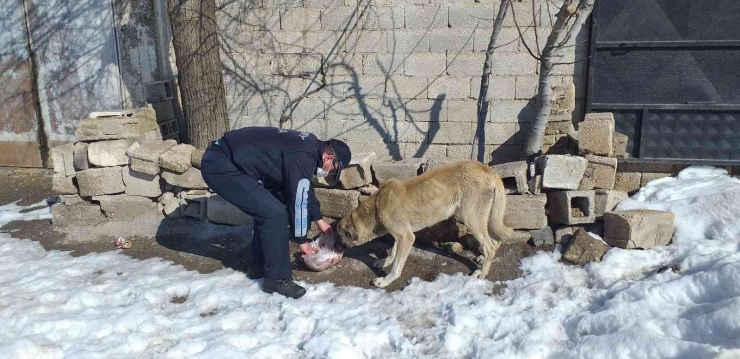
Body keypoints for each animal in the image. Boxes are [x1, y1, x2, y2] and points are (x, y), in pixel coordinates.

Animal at [336, 162, 516, 288]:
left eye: (340, 235)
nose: (337, 247)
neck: (375, 207)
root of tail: (488, 169)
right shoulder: (400, 236)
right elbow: (393, 252)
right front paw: (384, 262)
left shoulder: (406, 237)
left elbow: (396, 266)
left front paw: (386, 280)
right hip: (486, 218)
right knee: (495, 242)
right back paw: (483, 258)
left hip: (472, 219)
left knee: (490, 246)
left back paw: (482, 273)